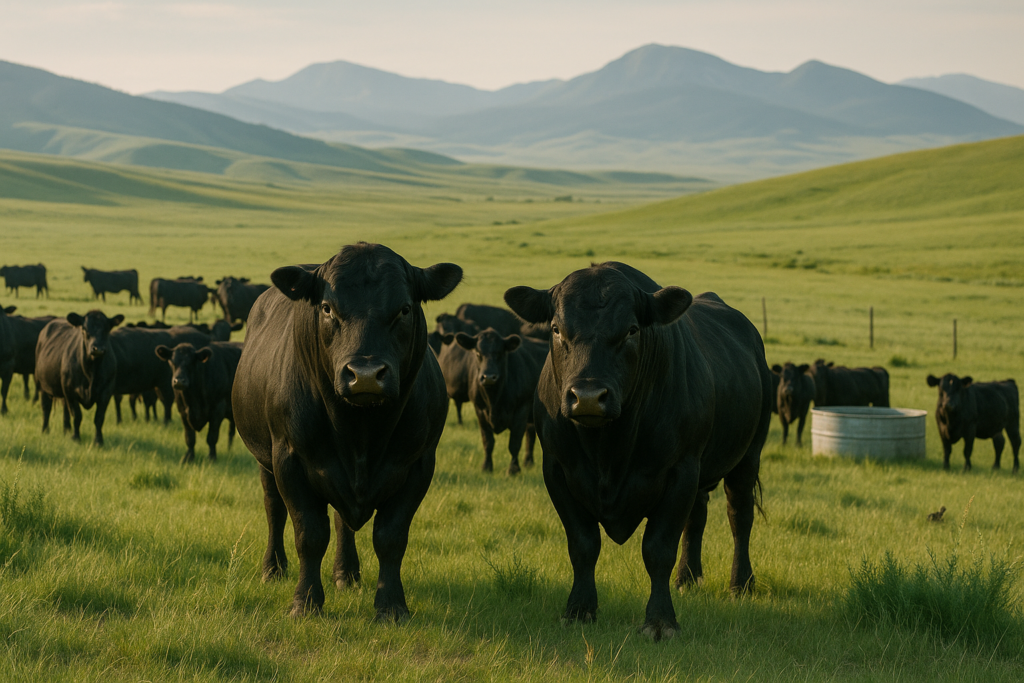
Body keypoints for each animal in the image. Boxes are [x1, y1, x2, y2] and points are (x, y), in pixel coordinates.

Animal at [34, 311, 123, 444]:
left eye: (107, 329)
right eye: (84, 329)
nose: (98, 349)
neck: (91, 371)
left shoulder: (106, 392)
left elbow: (99, 417)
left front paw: (98, 441)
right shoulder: (71, 391)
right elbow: (77, 415)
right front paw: (76, 437)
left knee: (65, 409)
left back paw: (66, 430)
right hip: (43, 386)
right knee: (46, 408)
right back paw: (45, 430)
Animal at [232, 242, 462, 620]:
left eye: (404, 309)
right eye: (328, 308)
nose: (365, 375)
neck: (361, 433)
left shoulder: (418, 464)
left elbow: (391, 537)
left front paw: (391, 606)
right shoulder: (290, 459)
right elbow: (309, 534)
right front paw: (306, 602)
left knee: (342, 521)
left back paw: (347, 572)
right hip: (265, 461)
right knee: (274, 509)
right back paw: (273, 568)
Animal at [453, 328, 546, 474]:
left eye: (500, 353)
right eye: (478, 353)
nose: (488, 377)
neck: (494, 400)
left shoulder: (522, 409)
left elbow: (514, 443)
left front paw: (513, 469)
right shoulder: (479, 409)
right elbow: (488, 441)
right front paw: (487, 466)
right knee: (531, 434)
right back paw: (528, 462)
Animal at [504, 262, 771, 641]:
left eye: (631, 330)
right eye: (556, 329)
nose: (588, 397)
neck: (608, 450)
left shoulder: (679, 471)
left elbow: (658, 548)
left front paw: (660, 620)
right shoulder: (557, 469)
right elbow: (583, 544)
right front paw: (579, 609)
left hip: (747, 457)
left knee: (740, 517)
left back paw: (741, 584)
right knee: (697, 517)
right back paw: (688, 577)